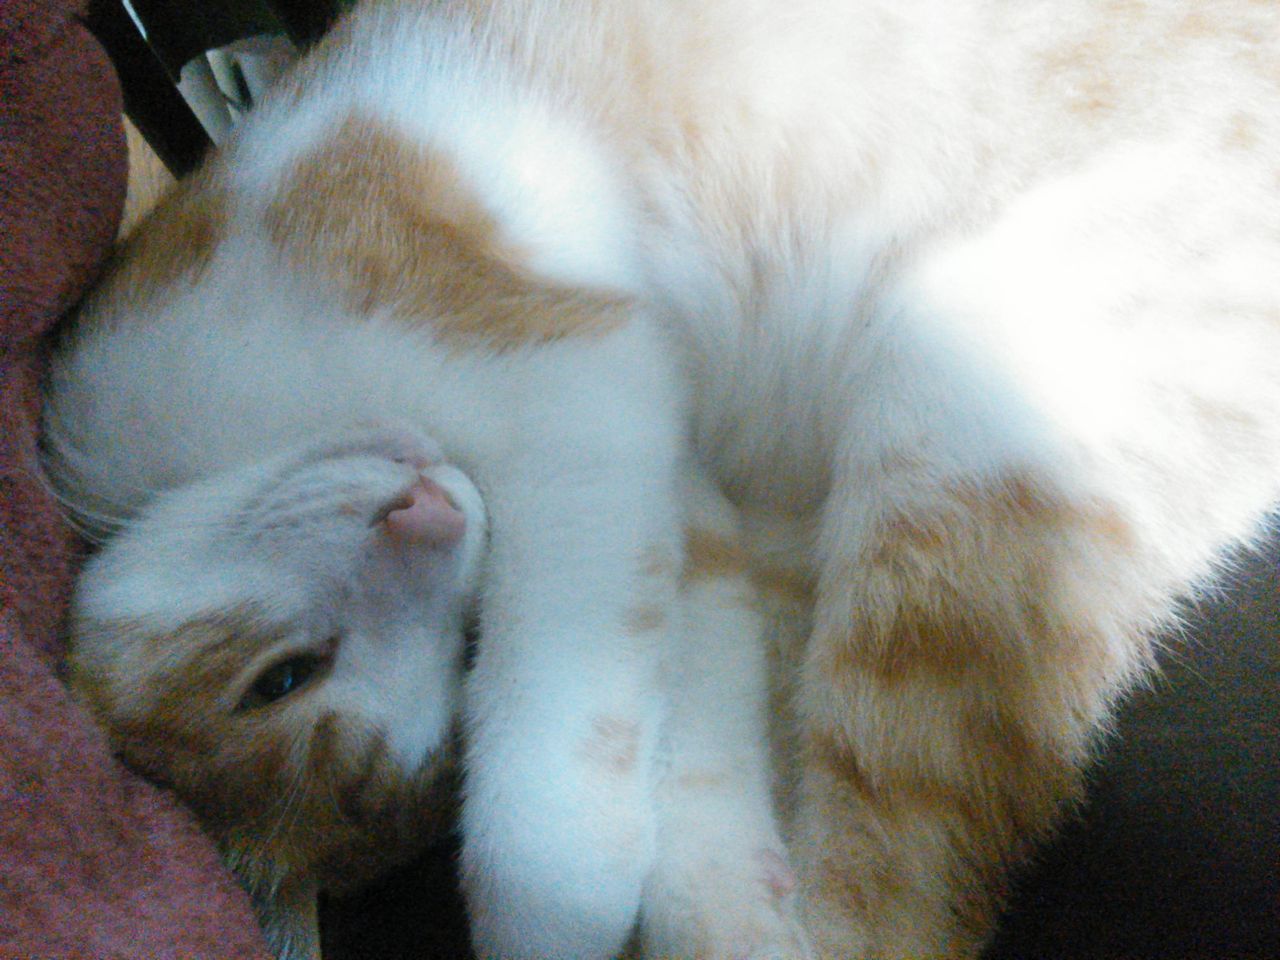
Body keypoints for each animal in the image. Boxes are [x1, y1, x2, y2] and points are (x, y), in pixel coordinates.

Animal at [42, 0, 1280, 957]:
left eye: (282, 681)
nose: (431, 509)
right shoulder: (679, 506)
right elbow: (678, 728)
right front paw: (709, 888)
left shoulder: (572, 376)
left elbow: (552, 726)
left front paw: (551, 904)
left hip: (963, 399)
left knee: (900, 883)